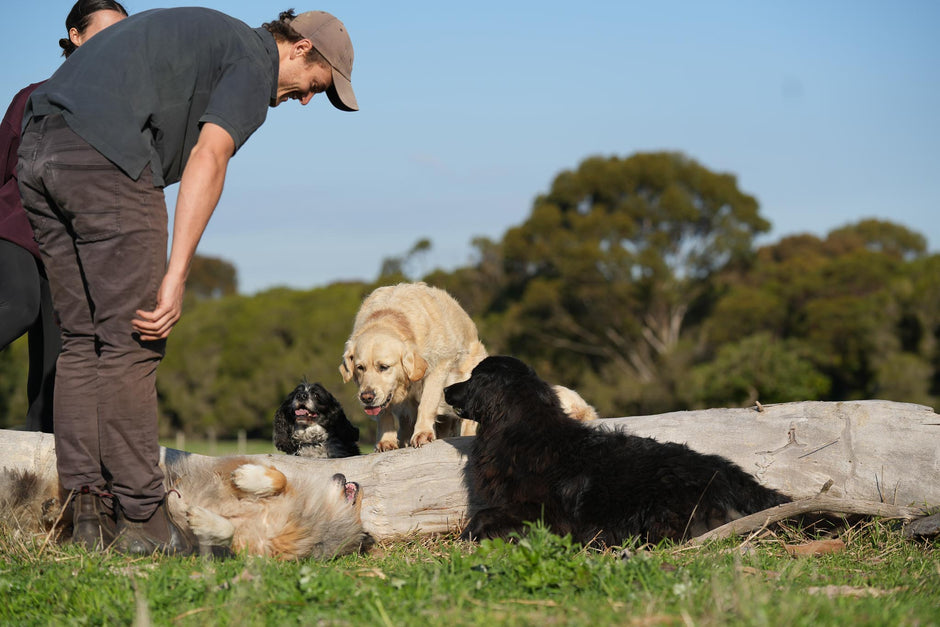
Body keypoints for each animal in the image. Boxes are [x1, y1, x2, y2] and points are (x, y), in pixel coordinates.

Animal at [342, 284, 600, 452]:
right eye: (360, 368)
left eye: (384, 367)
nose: (366, 397)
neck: (390, 316)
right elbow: (384, 412)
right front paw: (386, 440)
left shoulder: (438, 368)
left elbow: (427, 404)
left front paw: (422, 434)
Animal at [444, 358, 788, 544]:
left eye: (472, 378)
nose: (446, 390)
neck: (524, 429)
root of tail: (731, 474)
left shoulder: (543, 511)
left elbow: (483, 516)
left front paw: (467, 538)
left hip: (663, 511)